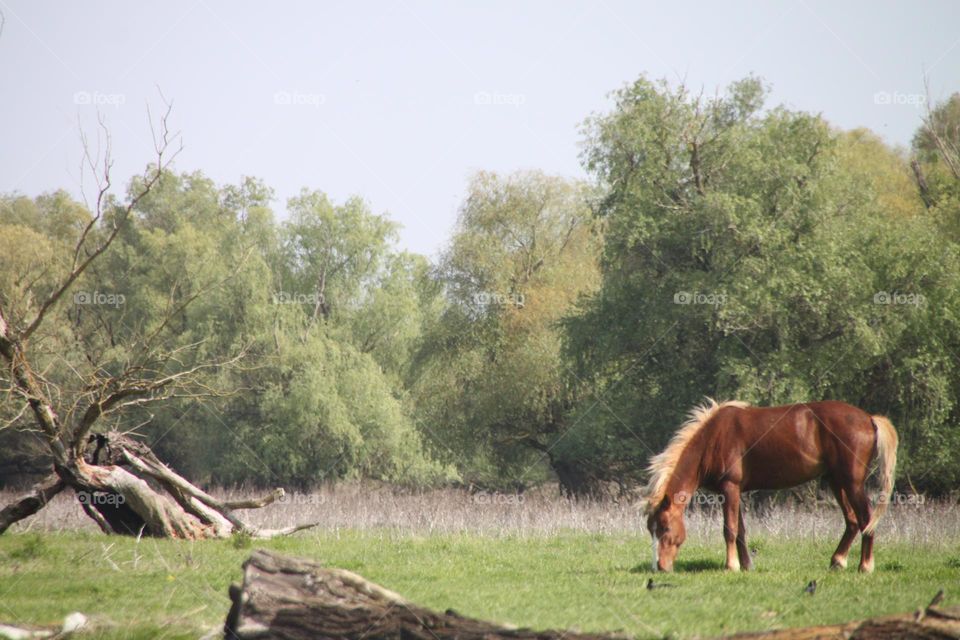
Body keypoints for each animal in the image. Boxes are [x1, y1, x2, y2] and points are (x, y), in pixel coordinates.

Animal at [643, 399, 898, 573]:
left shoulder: (730, 488)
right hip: (837, 481)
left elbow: (730, 529)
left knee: (866, 519)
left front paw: (731, 565)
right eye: (650, 529)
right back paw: (838, 561)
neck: (713, 439)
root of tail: (869, 419)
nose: (660, 567)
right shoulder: (735, 492)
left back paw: (865, 566)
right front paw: (746, 565)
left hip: (852, 483)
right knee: (852, 522)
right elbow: (741, 531)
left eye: (665, 527)